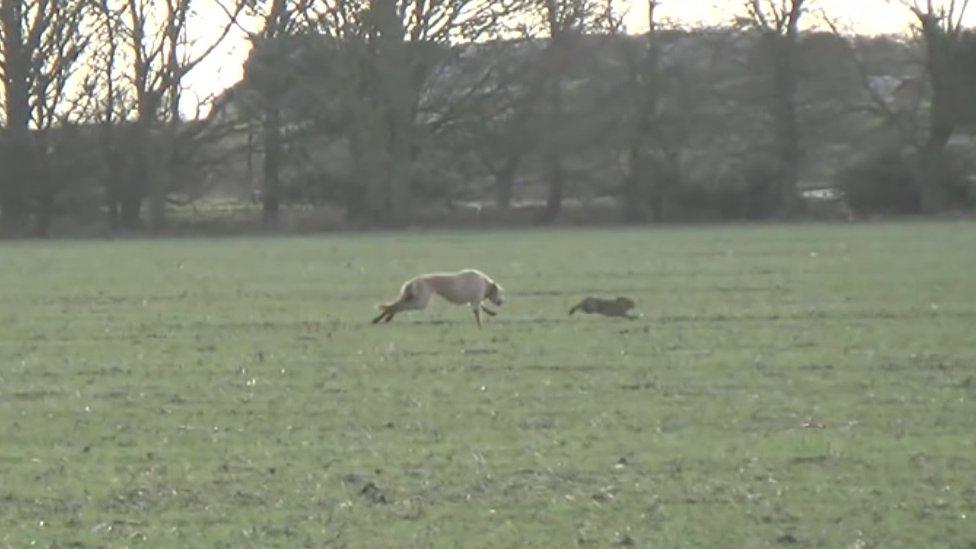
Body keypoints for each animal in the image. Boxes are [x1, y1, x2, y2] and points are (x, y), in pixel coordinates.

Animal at [372, 268, 504, 326]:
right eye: (500, 293)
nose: (502, 302)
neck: (485, 283)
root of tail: (413, 281)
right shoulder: (475, 300)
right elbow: (478, 314)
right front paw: (480, 327)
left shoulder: (473, 301)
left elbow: (482, 307)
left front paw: (491, 313)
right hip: (420, 301)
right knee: (398, 306)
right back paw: (385, 317)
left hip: (413, 297)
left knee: (395, 304)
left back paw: (382, 318)